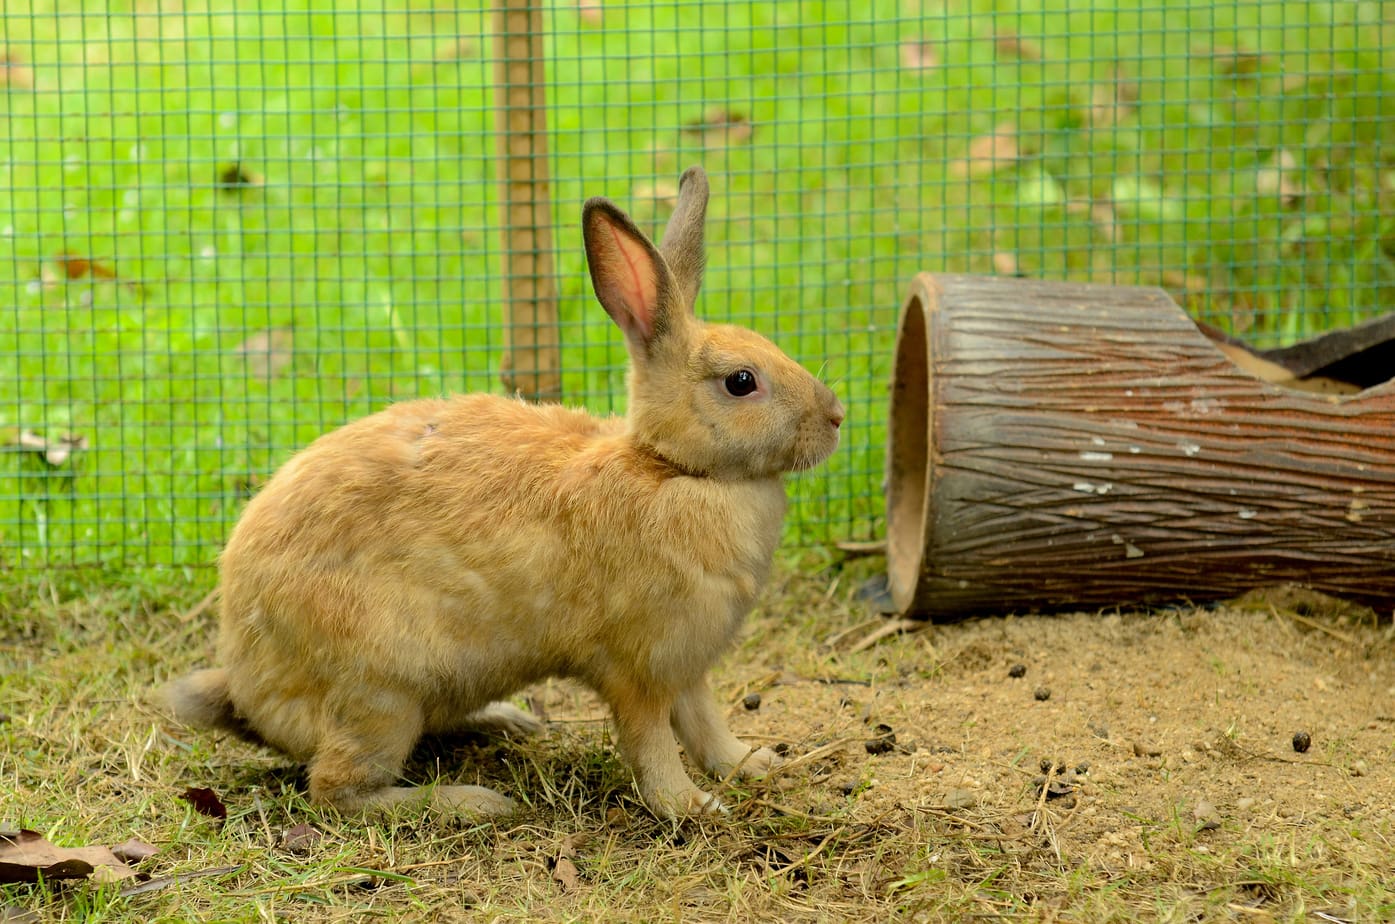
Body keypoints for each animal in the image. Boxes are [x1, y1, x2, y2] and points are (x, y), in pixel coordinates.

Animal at [162, 166, 845, 819]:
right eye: (741, 382)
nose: (836, 416)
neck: (674, 469)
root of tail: (248, 687)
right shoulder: (640, 670)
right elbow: (652, 744)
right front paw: (690, 806)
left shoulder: (690, 669)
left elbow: (707, 726)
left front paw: (756, 764)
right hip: (381, 693)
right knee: (336, 789)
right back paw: (473, 803)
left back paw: (508, 721)